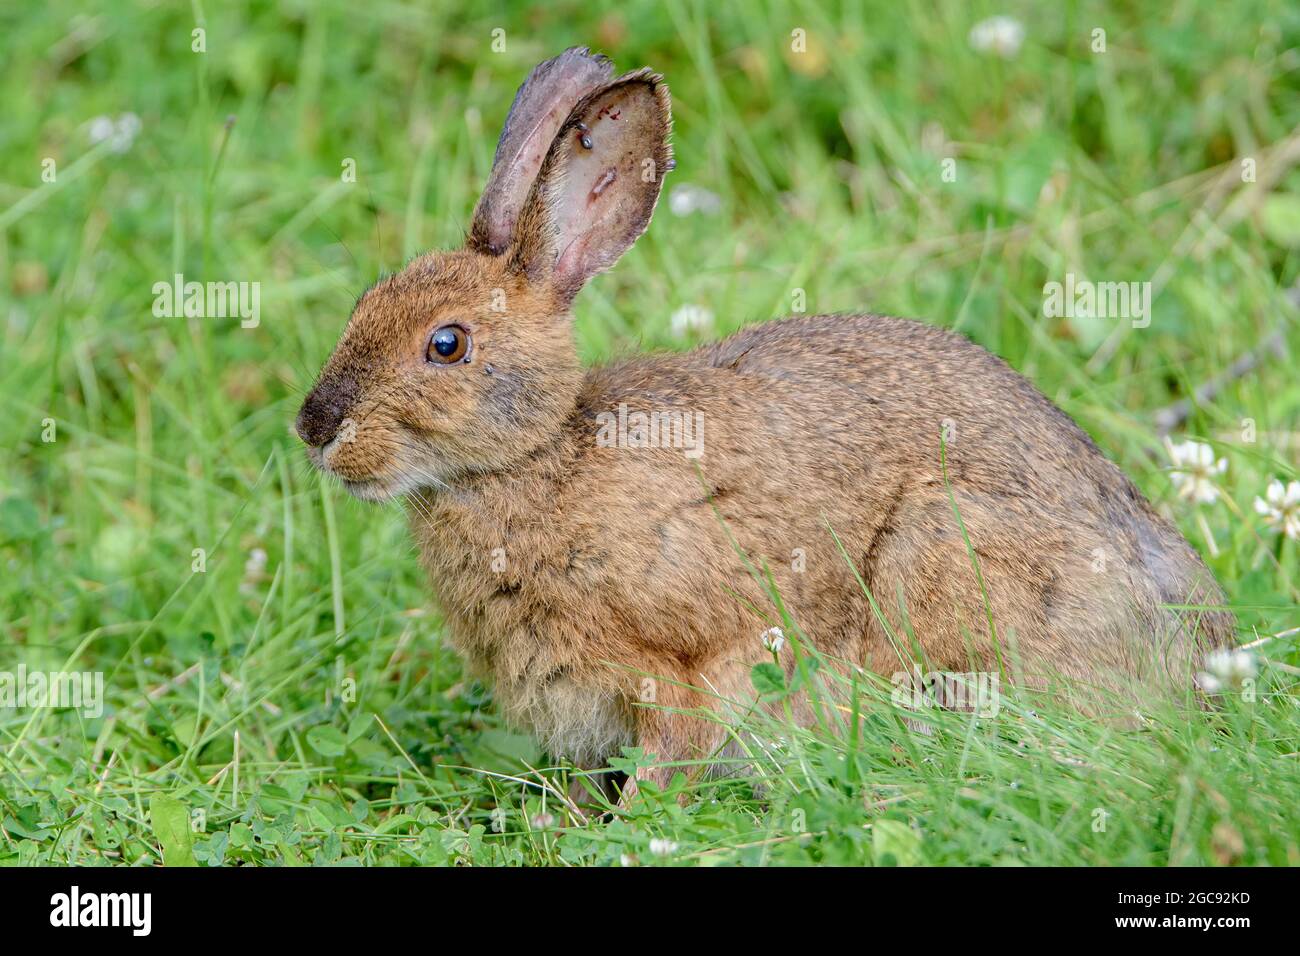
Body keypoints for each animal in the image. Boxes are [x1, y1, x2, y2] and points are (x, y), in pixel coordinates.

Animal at [295, 47, 1233, 800]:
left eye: (446, 344)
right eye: (364, 303)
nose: (315, 428)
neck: (536, 459)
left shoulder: (679, 664)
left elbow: (674, 750)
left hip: (945, 560)